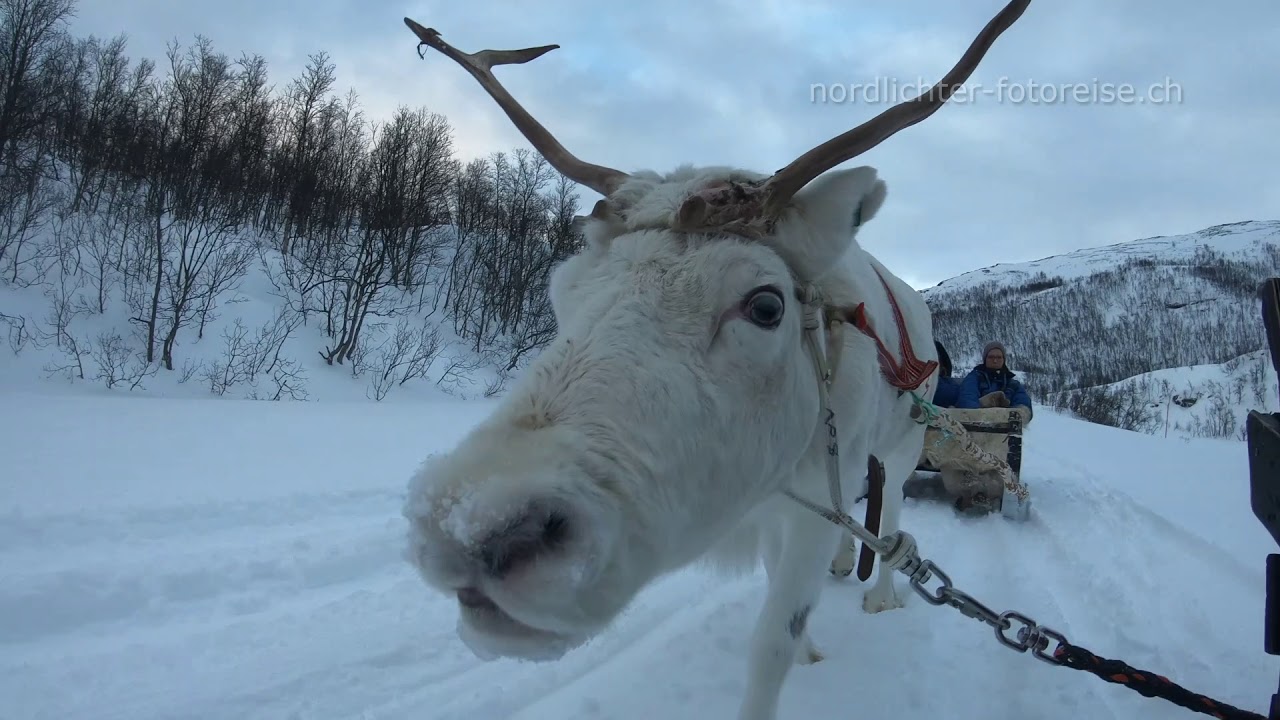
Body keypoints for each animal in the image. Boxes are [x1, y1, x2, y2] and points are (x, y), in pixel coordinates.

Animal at [401, 2, 1031, 718]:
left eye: (765, 304)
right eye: (562, 292)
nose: (476, 532)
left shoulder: (814, 494)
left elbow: (771, 643)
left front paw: (801, 647)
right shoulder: (783, 502)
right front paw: (813, 643)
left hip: (904, 438)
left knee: (892, 508)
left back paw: (878, 591)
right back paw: (848, 563)